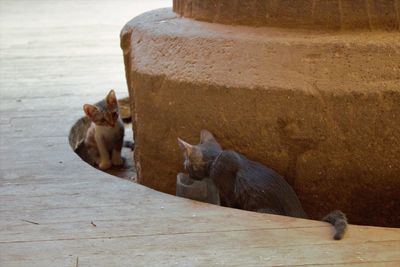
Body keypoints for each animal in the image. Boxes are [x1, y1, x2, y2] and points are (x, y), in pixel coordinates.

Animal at [178, 130, 346, 241]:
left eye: (186, 165)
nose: (187, 174)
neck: (216, 158)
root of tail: (303, 215)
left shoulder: (230, 194)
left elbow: (231, 204)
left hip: (263, 209)